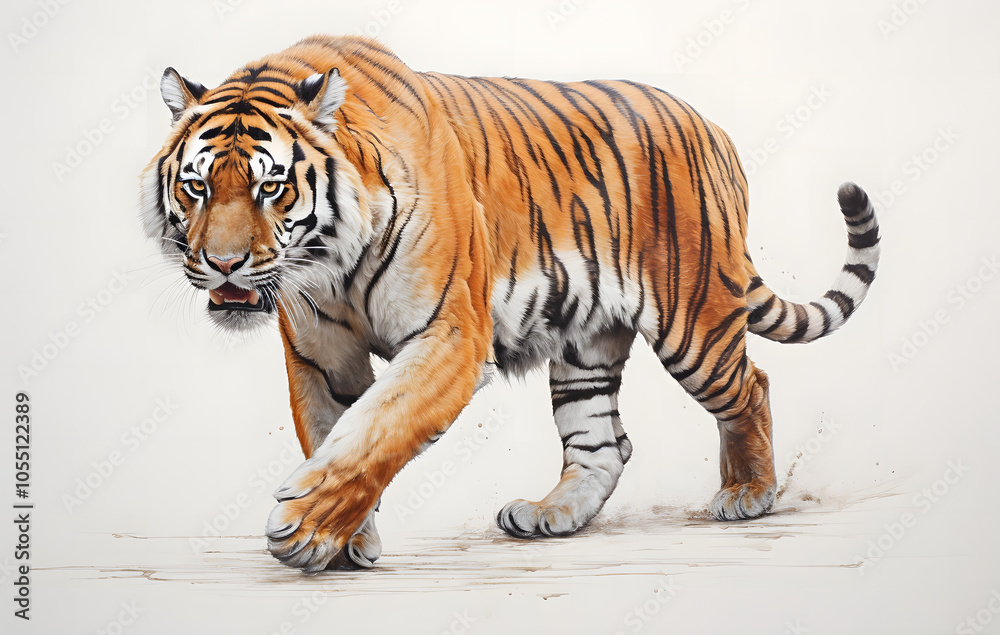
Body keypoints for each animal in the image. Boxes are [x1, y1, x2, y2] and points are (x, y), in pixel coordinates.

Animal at [139, 34, 880, 573]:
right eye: (197, 186)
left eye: (270, 188)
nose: (224, 264)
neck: (328, 263)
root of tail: (714, 130)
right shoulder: (321, 357)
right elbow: (333, 434)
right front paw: (343, 541)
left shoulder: (449, 336)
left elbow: (376, 432)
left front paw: (304, 527)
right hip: (586, 343)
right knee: (604, 442)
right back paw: (552, 514)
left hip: (693, 318)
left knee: (750, 386)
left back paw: (748, 493)